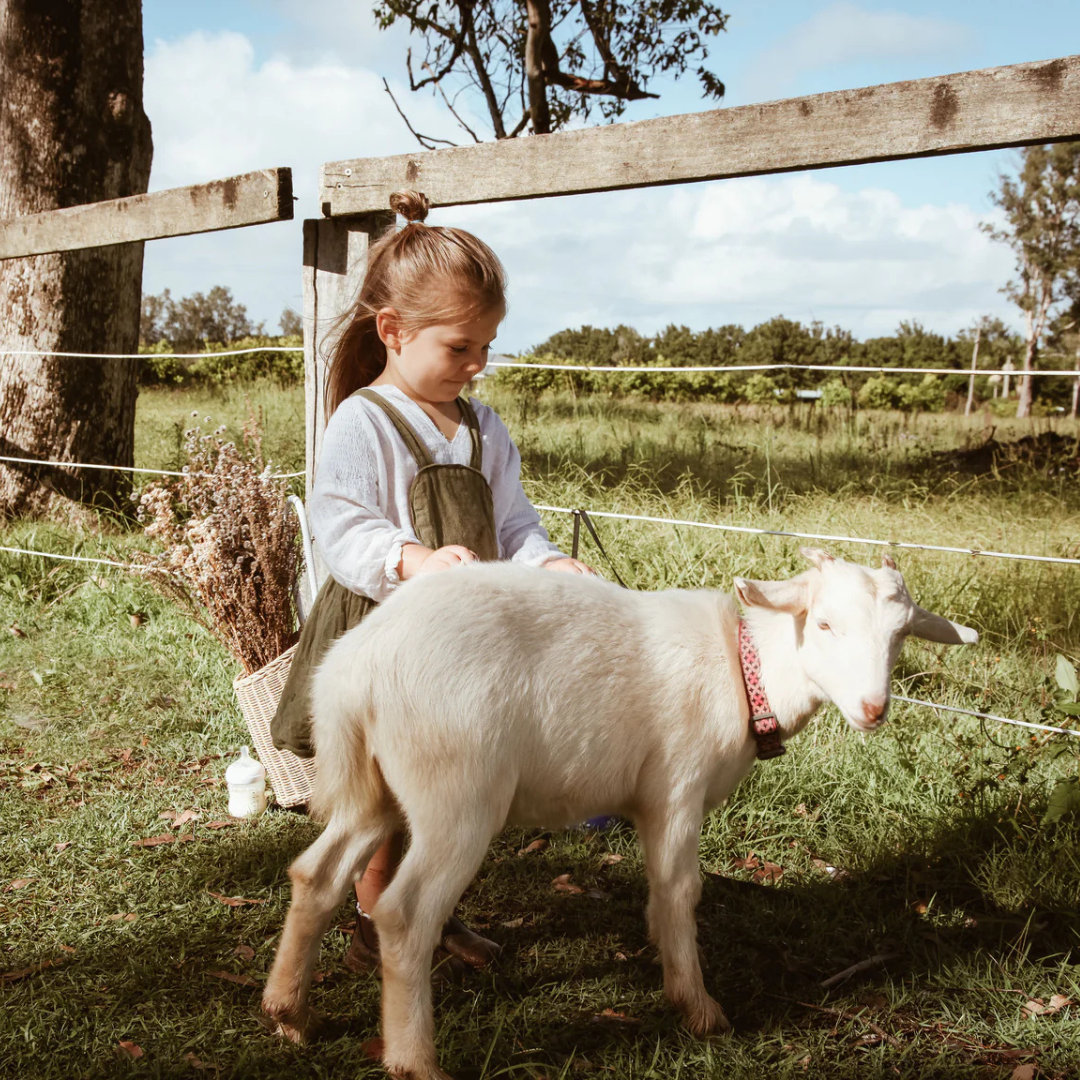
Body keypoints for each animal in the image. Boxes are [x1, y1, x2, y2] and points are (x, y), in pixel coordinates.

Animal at [263, 548, 977, 1080]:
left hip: (374, 791)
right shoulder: (678, 788)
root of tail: (353, 671)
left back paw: (289, 1012)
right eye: (823, 624)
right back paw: (415, 1061)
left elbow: (660, 895)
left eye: (900, 637)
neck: (745, 673)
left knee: (315, 875)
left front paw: (664, 956)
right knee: (405, 913)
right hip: (455, 792)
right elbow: (682, 889)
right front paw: (697, 1005)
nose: (873, 709)